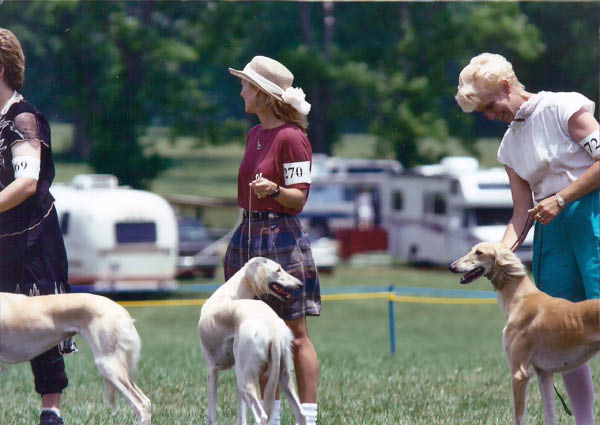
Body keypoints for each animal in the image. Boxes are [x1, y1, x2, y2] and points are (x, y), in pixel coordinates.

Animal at [199, 255, 308, 424]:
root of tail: (273, 330)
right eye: (278, 269)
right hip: (282, 374)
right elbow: (241, 416)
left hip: (246, 379)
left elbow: (211, 417)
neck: (230, 293)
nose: (300, 284)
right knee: (301, 413)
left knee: (261, 415)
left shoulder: (212, 370)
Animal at [450, 242, 600, 424]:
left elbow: (519, 417)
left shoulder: (518, 373)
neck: (520, 297)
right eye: (471, 249)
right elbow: (549, 415)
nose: (452, 267)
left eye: (479, 252)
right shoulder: (544, 373)